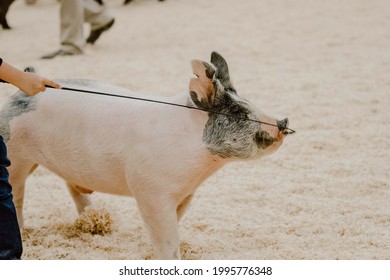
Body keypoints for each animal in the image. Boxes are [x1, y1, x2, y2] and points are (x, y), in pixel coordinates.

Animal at [0, 52, 290, 258]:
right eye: (239, 113)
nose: (283, 121)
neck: (203, 166)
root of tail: (24, 88)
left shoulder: (186, 193)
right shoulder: (150, 192)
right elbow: (166, 237)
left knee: (72, 187)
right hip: (14, 154)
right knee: (17, 195)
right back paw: (24, 234)